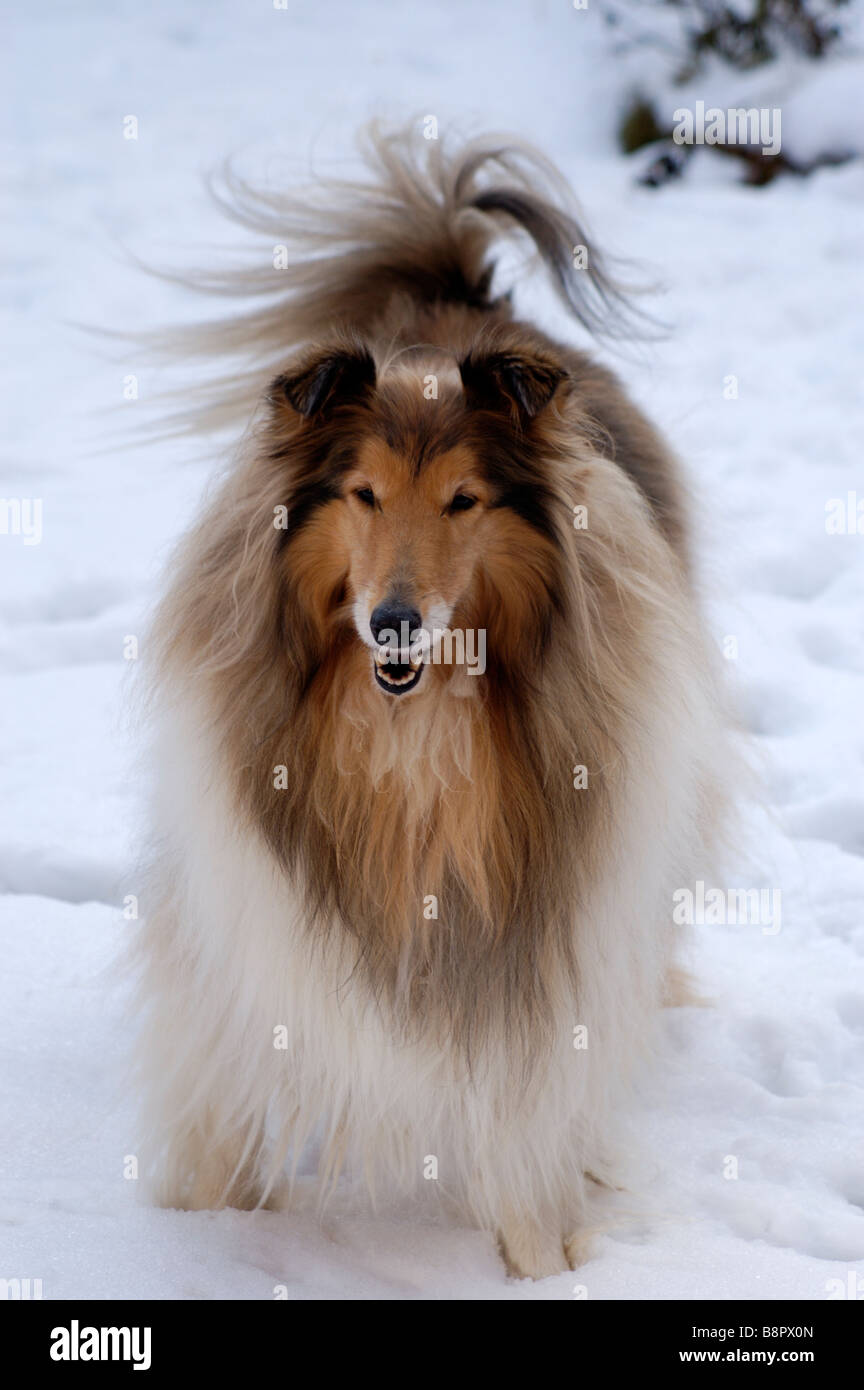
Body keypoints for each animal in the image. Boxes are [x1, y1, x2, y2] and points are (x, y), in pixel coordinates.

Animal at [136, 127, 733, 1278]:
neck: (413, 735)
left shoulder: (539, 952)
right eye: (363, 492)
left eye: (465, 499)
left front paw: (542, 1263)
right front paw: (200, 1222)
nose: (395, 624)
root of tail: (461, 302)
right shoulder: (262, 914)